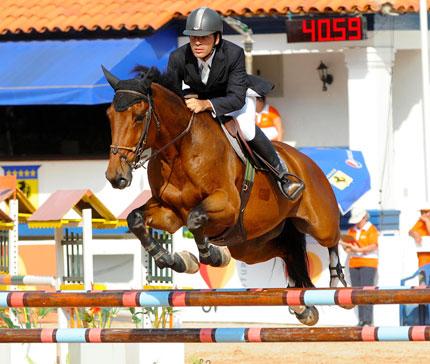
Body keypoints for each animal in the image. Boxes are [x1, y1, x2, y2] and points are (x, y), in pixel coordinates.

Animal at [102, 64, 348, 324]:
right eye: (109, 116)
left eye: (139, 117)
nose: (115, 176)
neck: (178, 151)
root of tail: (305, 160)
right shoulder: (169, 212)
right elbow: (136, 219)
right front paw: (174, 260)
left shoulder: (227, 204)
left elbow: (195, 219)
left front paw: (212, 256)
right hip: (250, 244)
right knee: (287, 251)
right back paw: (301, 306)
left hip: (318, 221)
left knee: (331, 239)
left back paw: (337, 284)